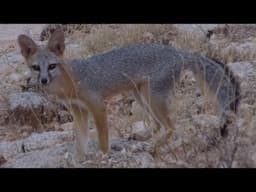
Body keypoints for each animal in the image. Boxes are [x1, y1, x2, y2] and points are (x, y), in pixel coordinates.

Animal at [17, 29, 240, 156]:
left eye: (52, 66)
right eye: (36, 68)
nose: (43, 80)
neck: (72, 80)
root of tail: (178, 51)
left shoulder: (98, 107)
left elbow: (102, 140)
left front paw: (104, 157)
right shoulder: (79, 112)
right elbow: (80, 143)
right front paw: (79, 160)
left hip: (152, 99)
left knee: (171, 127)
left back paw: (153, 147)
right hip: (142, 99)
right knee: (160, 126)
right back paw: (147, 142)